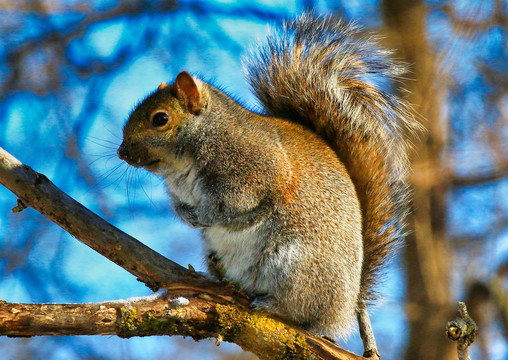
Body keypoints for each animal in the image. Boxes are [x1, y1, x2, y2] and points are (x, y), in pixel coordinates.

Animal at [117, 12, 418, 358]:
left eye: (160, 119)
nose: (121, 152)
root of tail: (345, 305)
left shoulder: (257, 170)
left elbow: (236, 203)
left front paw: (206, 214)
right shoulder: (179, 190)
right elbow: (180, 207)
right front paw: (188, 216)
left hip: (296, 265)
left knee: (301, 311)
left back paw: (273, 305)